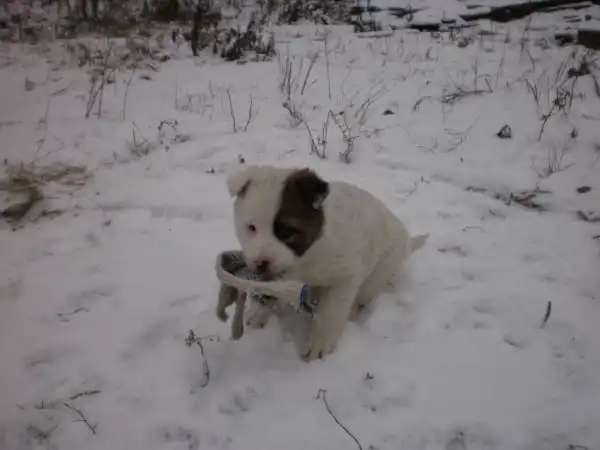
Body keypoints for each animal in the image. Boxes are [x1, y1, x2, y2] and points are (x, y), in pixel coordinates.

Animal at [226, 165, 428, 361]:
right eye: (251, 228)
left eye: (287, 231)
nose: (261, 262)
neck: (305, 257)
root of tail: (408, 241)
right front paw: (259, 312)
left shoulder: (346, 276)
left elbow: (331, 312)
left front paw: (318, 343)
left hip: (380, 272)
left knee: (364, 296)